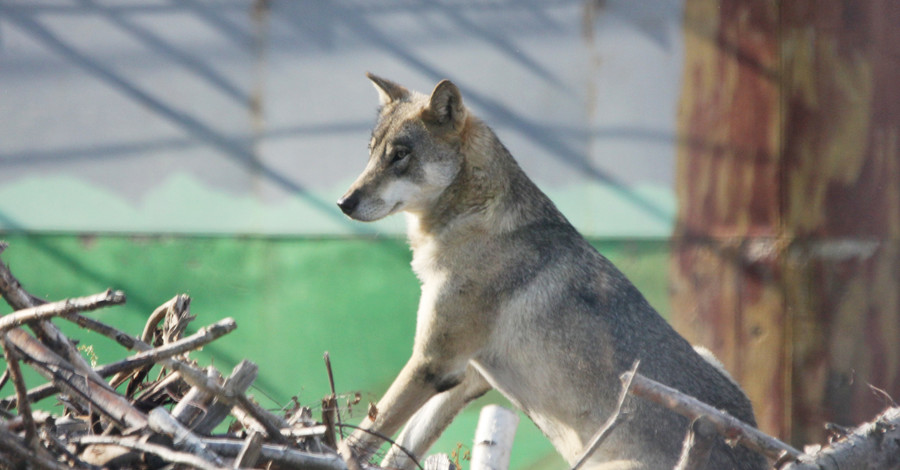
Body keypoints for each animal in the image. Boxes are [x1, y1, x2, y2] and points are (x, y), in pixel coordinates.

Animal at [338, 74, 768, 470]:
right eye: (373, 154)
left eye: (399, 155)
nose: (344, 202)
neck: (474, 221)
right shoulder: (464, 378)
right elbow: (400, 448)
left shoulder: (433, 362)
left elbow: (366, 435)